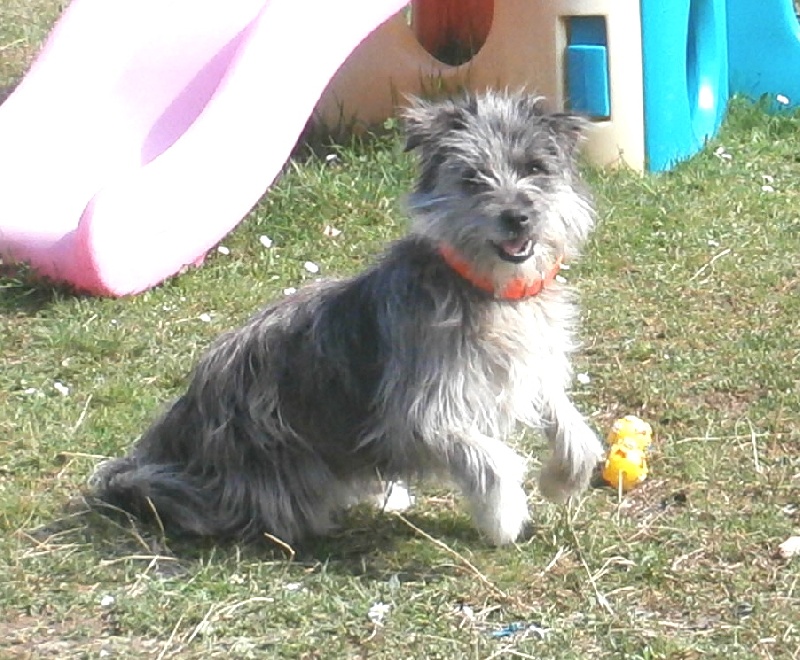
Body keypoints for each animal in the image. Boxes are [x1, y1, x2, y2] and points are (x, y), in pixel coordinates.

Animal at [90, 91, 603, 546]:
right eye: (473, 178)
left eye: (535, 168)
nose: (517, 217)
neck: (491, 291)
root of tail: (177, 436)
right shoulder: (411, 416)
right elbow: (489, 458)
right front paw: (505, 516)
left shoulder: (528, 370)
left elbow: (570, 424)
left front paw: (562, 479)